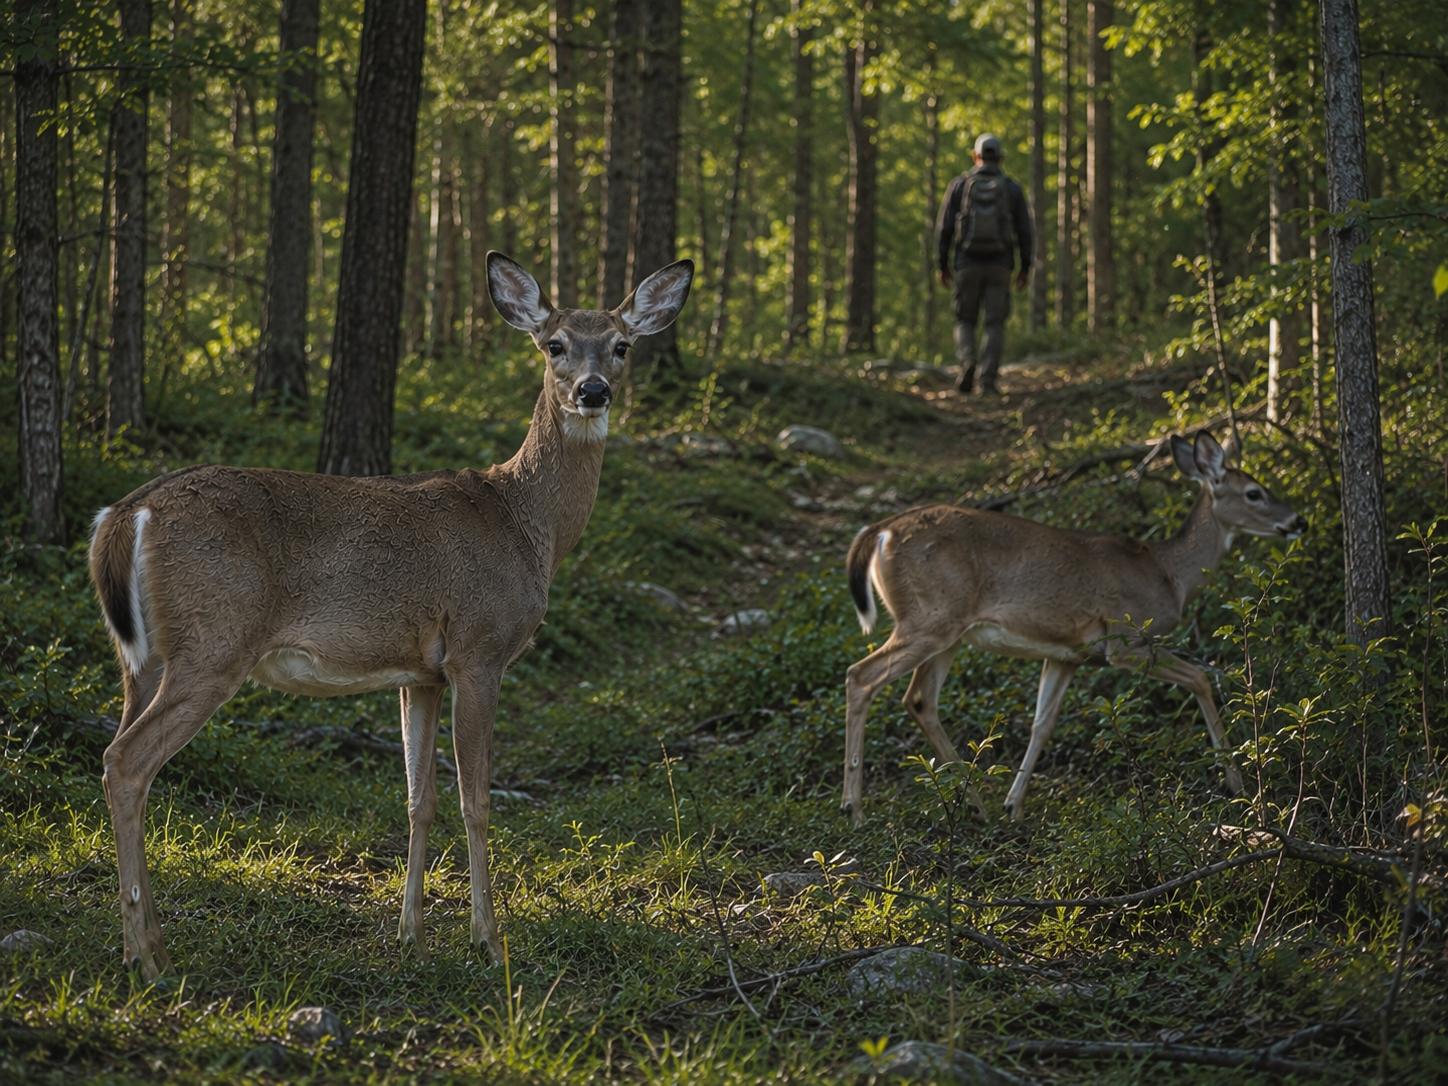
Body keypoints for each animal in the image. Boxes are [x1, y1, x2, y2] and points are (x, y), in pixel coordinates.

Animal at [88, 252, 694, 980]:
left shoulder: (419, 673)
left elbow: (417, 800)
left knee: (125, 756)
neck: (527, 524)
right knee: (126, 761)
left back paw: (143, 943)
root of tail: (124, 514)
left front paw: (412, 936)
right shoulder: (478, 649)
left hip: (143, 658)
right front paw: (487, 940)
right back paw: (147, 958)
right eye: (555, 345)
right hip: (213, 642)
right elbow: (475, 799)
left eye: (622, 345)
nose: (593, 390)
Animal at [840, 431, 1307, 825]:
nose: (1299, 522)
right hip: (930, 617)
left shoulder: (1067, 654)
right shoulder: (1126, 639)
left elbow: (1042, 723)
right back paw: (855, 809)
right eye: (1254, 493)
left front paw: (1013, 804)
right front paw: (1237, 782)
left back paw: (976, 806)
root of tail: (879, 531)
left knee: (919, 699)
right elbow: (1199, 678)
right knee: (861, 676)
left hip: (947, 630)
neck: (1168, 576)